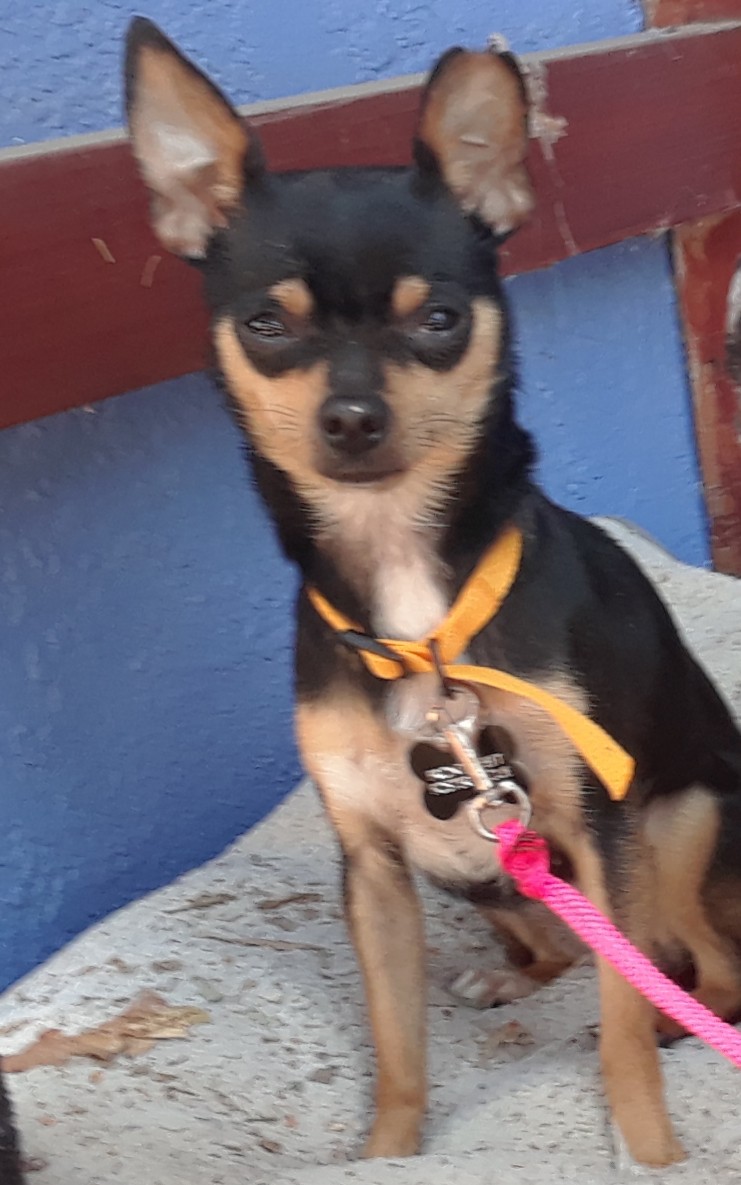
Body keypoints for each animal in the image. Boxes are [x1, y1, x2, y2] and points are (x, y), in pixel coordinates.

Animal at [125, 18, 739, 1166]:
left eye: (441, 319)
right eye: (267, 326)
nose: (352, 419)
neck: (420, 609)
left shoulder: (605, 832)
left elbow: (621, 1031)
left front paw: (650, 1154)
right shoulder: (372, 867)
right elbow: (394, 1042)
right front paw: (387, 1155)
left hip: (679, 822)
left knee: (702, 977)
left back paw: (683, 1024)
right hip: (479, 873)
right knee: (574, 953)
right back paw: (514, 974)